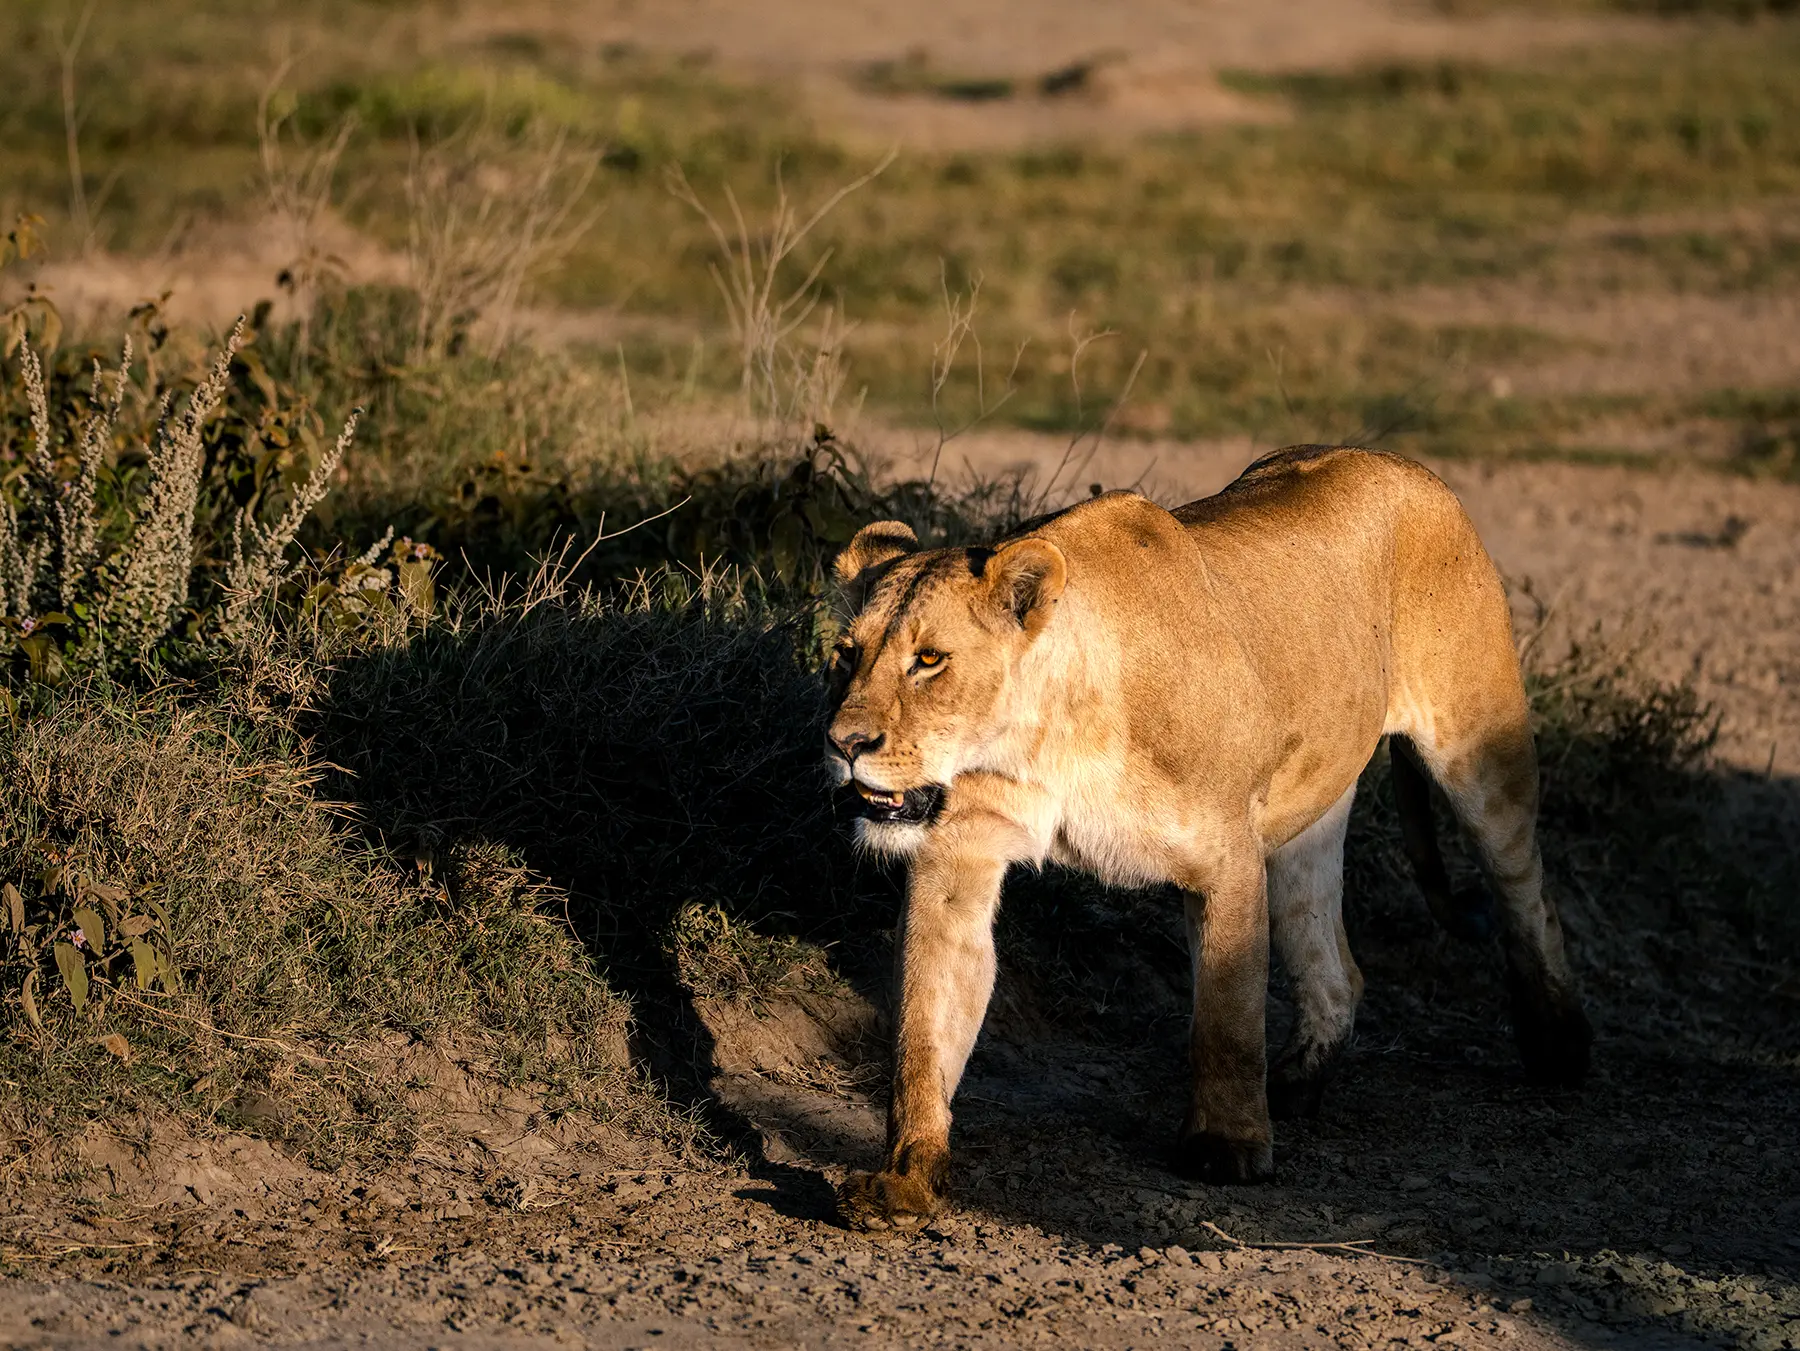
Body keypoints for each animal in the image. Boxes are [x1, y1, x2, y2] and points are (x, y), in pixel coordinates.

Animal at [823, 445, 1592, 1232]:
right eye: (845, 655)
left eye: (929, 660)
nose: (844, 743)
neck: (1043, 737)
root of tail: (1400, 461)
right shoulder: (957, 855)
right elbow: (926, 1021)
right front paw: (906, 1175)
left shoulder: (1227, 855)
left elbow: (1226, 1017)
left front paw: (1227, 1147)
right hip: (1309, 818)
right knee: (1335, 965)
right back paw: (1296, 1084)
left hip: (1480, 752)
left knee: (1527, 891)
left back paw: (1561, 1045)